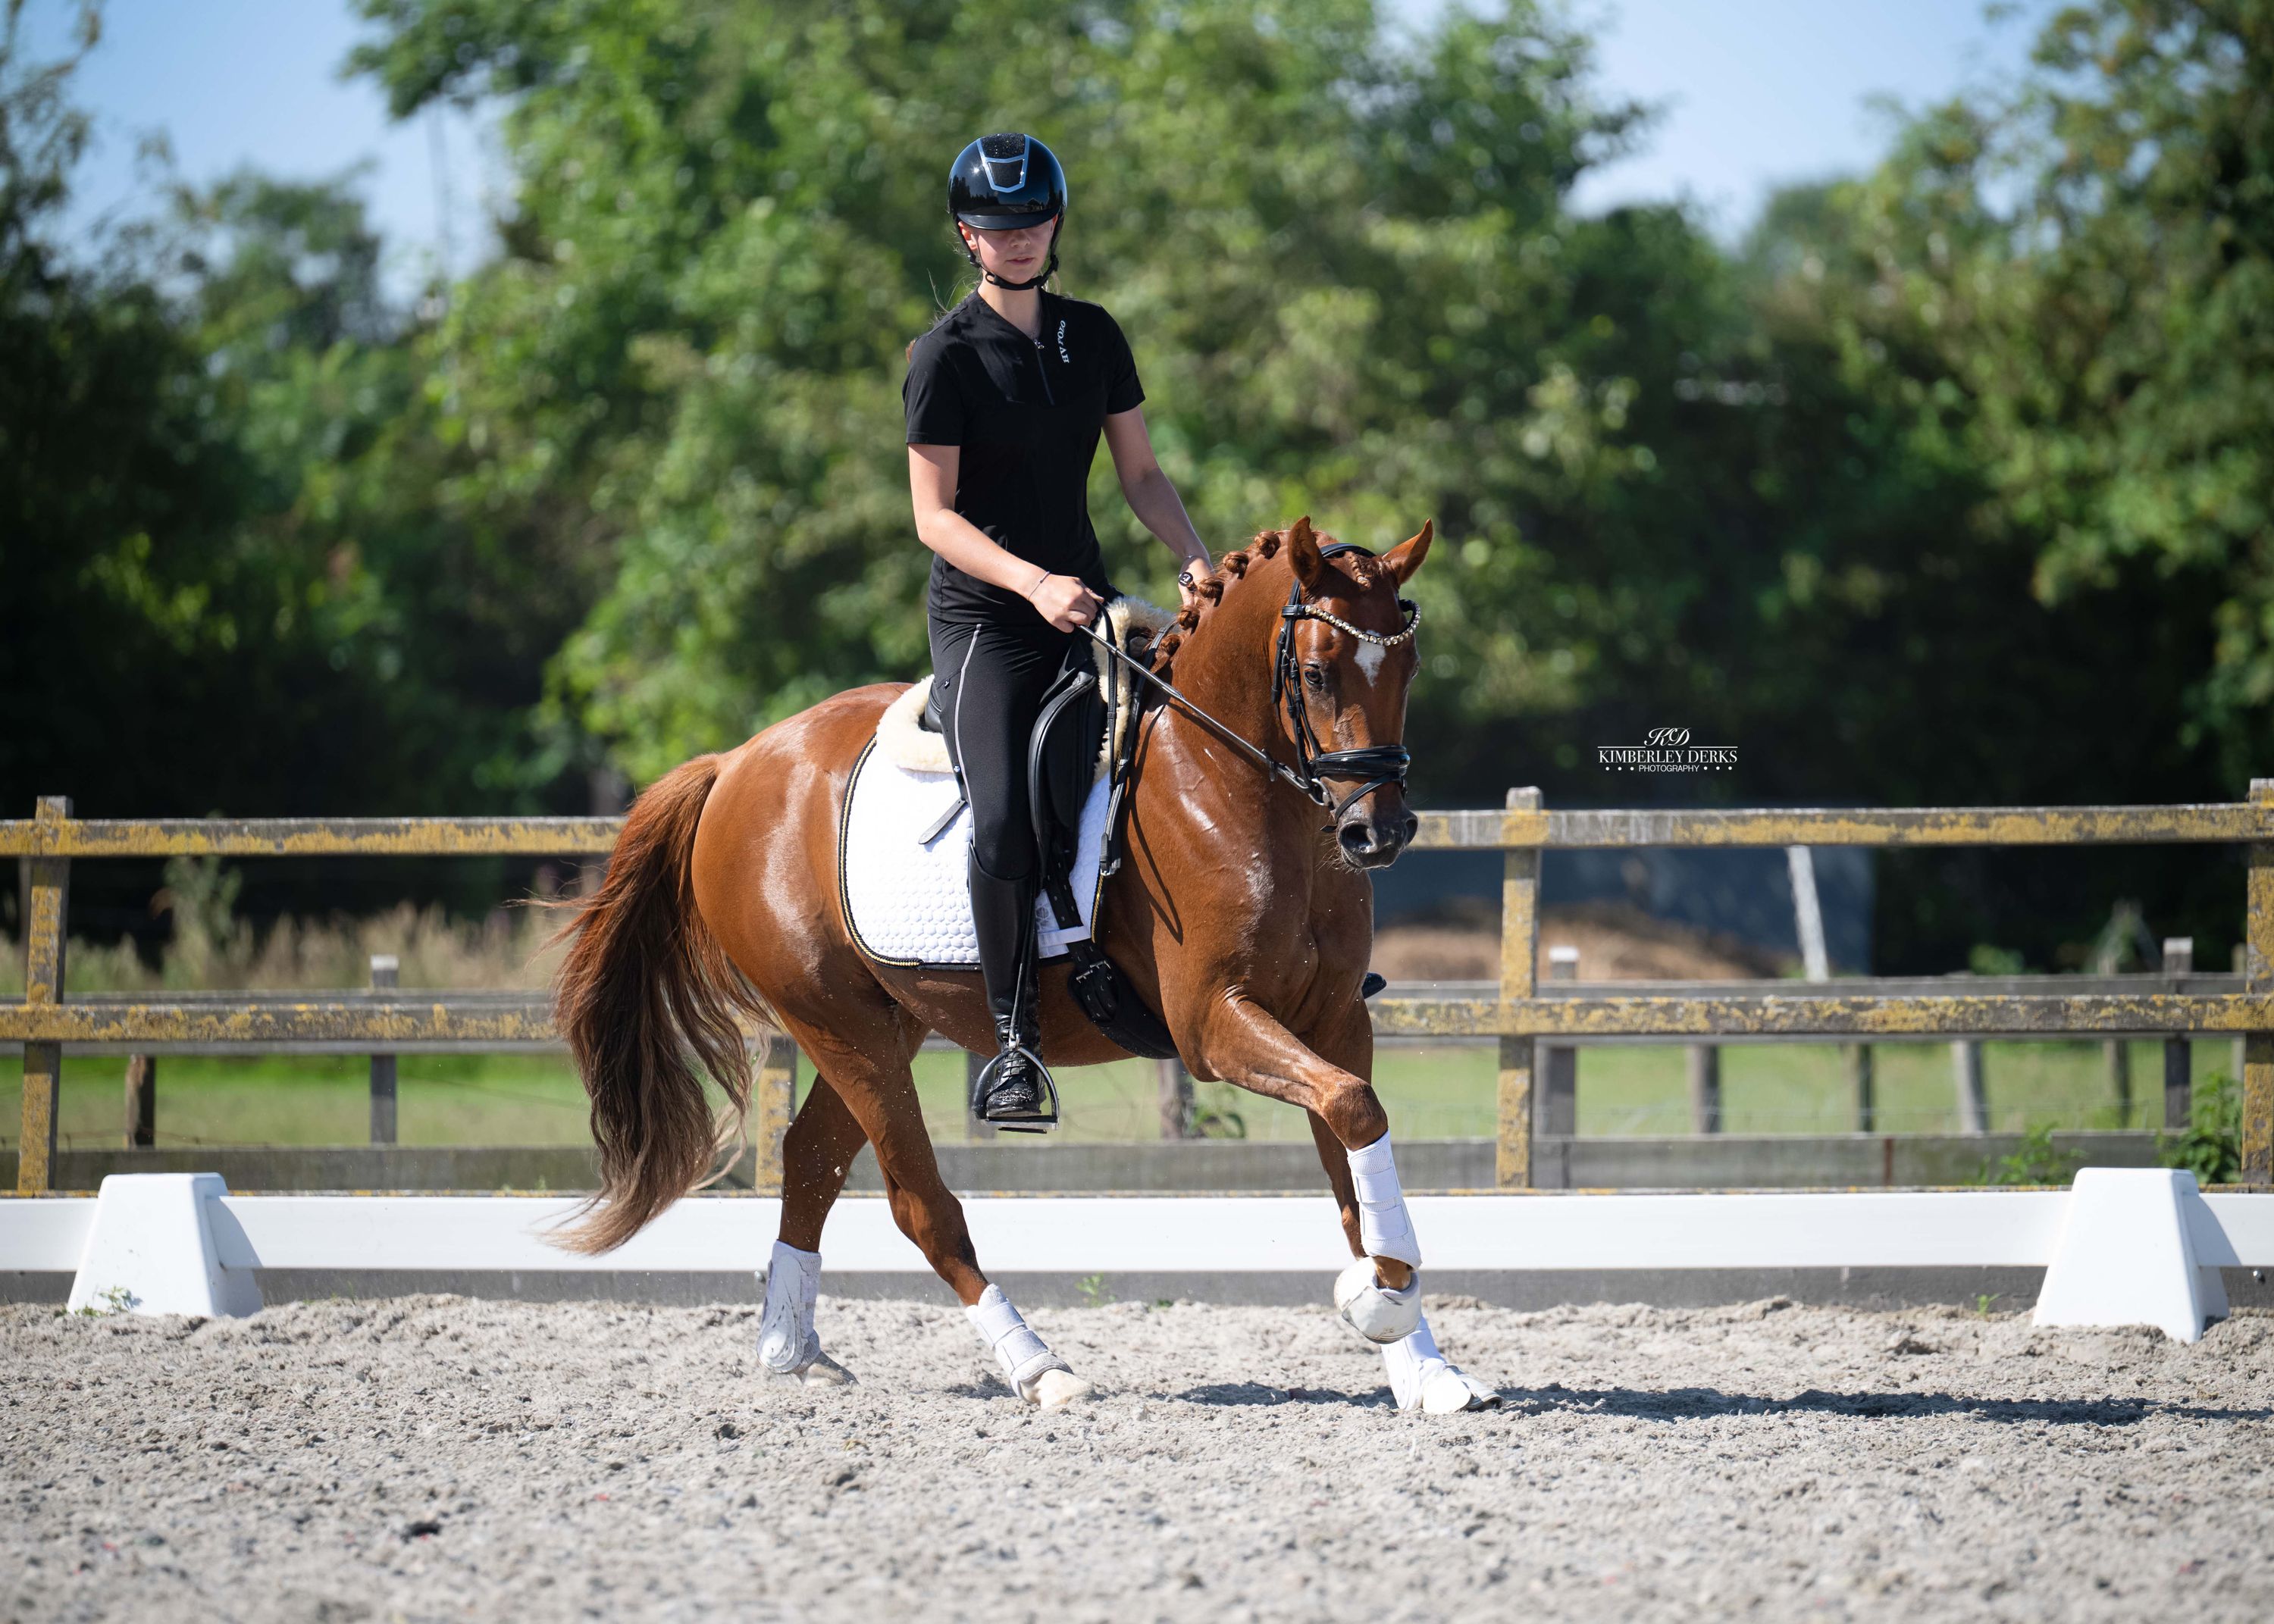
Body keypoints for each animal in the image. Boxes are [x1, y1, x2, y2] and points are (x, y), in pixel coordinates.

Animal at [549, 515, 1494, 1412]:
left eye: (1408, 668)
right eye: (1320, 672)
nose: (1378, 832)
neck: (1227, 781)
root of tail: (737, 762)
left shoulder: (1334, 1017)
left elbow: (1353, 1158)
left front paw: (1421, 1360)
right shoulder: (1213, 1024)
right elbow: (1354, 1112)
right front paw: (1382, 1299)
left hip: (881, 1024)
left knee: (811, 1159)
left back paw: (794, 1351)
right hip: (837, 1021)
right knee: (919, 1204)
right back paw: (1040, 1369)